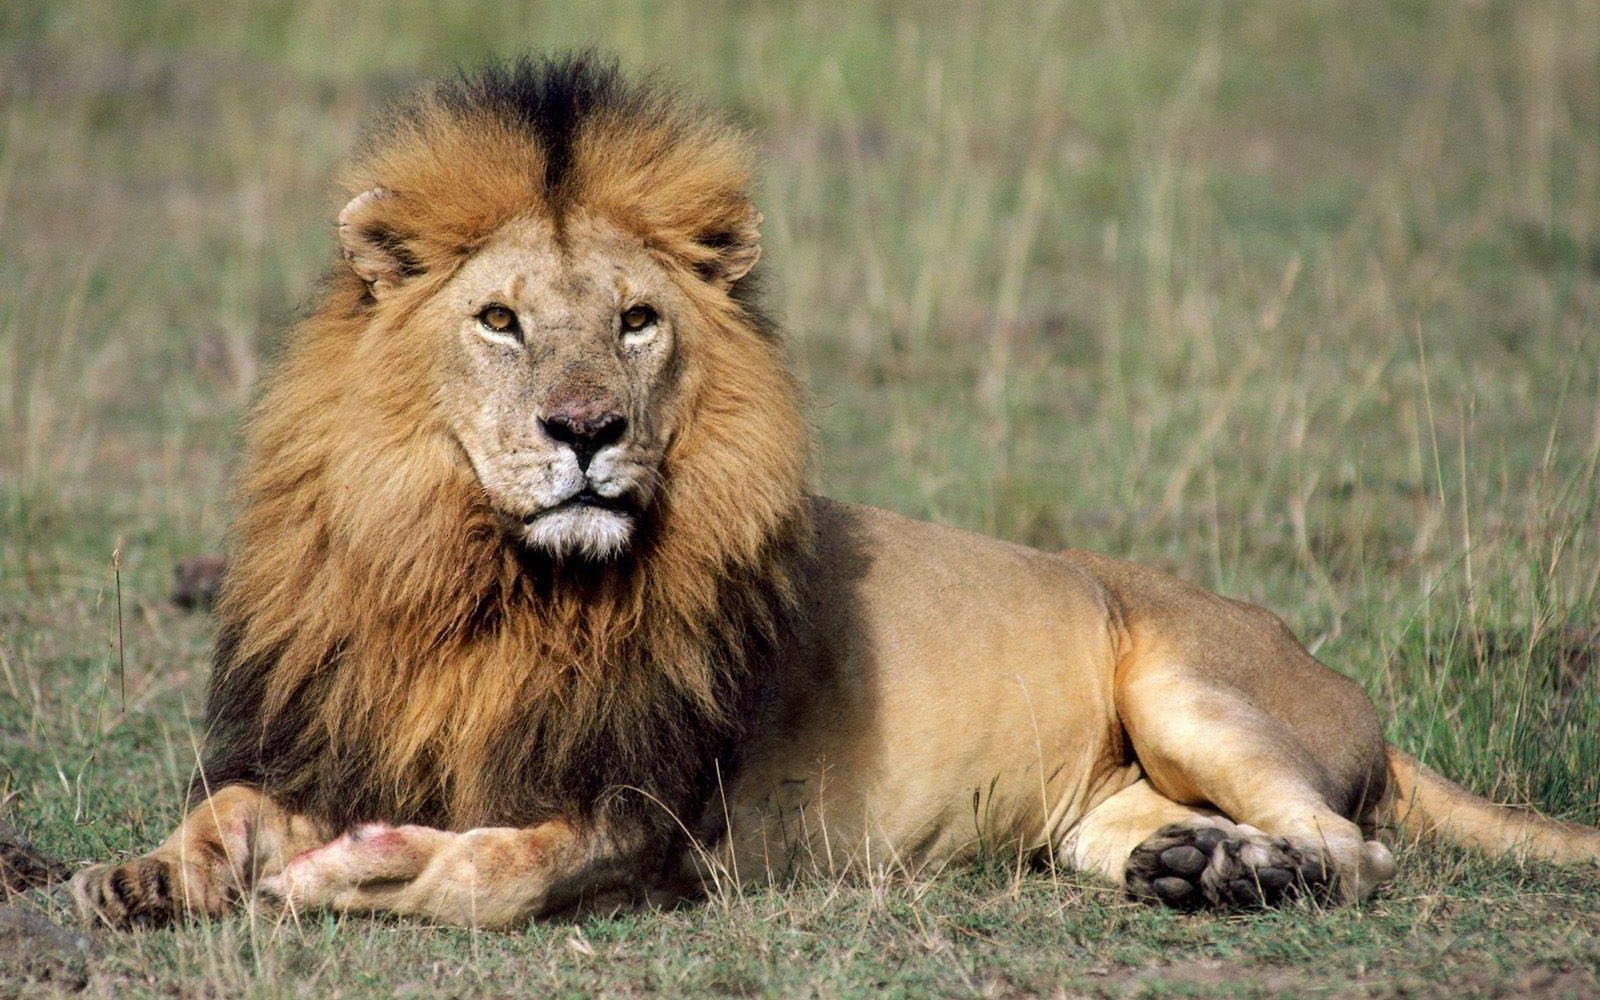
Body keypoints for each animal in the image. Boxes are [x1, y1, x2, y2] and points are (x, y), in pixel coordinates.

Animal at [73, 56, 1600, 930]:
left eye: (635, 320)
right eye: (500, 321)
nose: (587, 430)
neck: (484, 583)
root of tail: (1345, 687)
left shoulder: (652, 818)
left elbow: (489, 876)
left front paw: (365, 874)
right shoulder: (346, 729)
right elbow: (224, 813)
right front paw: (138, 875)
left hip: (1191, 684)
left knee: (1356, 846)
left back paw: (1254, 876)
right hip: (1099, 806)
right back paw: (1198, 868)